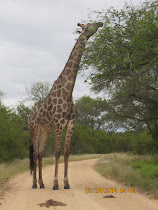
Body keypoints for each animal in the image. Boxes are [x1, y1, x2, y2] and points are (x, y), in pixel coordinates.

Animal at [28, 21, 102, 190]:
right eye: (89, 25)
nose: (100, 23)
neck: (68, 92)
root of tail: (29, 114)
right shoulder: (59, 124)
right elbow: (57, 152)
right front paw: (56, 184)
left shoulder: (71, 124)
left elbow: (67, 152)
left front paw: (66, 183)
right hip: (33, 129)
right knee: (35, 153)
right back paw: (34, 183)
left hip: (44, 130)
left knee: (40, 153)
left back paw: (42, 183)